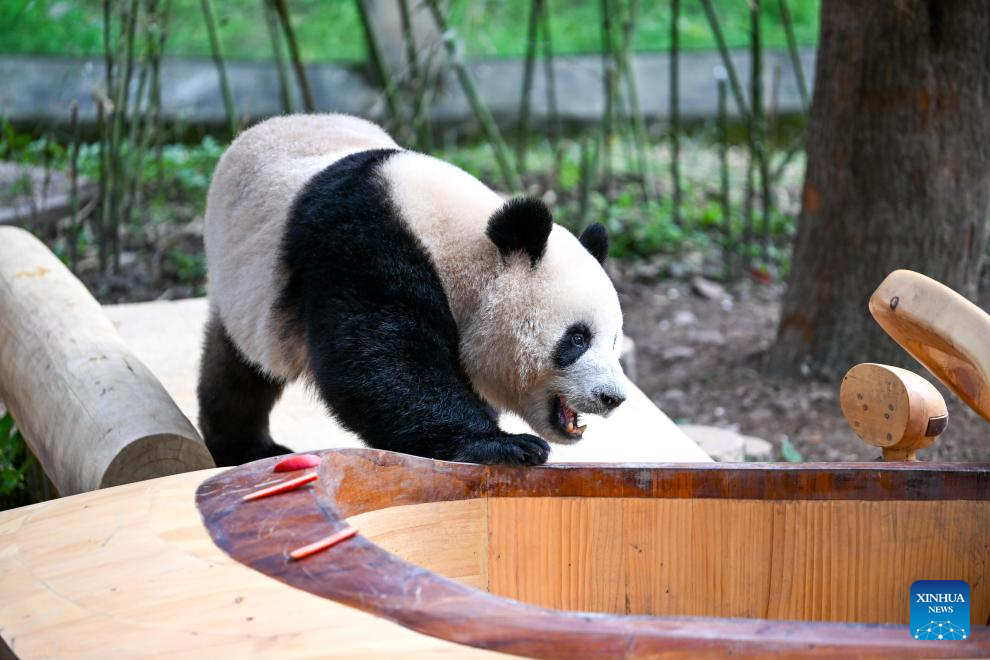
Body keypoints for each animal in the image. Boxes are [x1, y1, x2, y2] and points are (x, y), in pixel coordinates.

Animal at [198, 113, 627, 467]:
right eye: (577, 339)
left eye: (614, 340)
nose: (614, 398)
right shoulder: (361, 247)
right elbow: (380, 361)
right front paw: (504, 445)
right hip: (243, 281)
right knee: (239, 369)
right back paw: (243, 447)